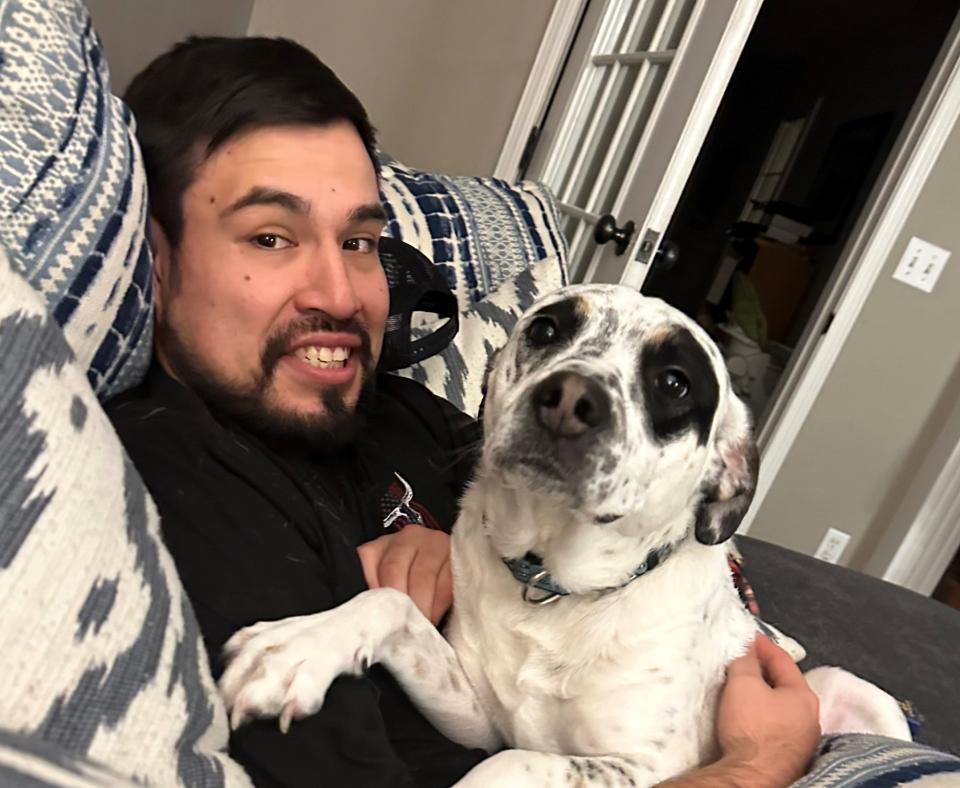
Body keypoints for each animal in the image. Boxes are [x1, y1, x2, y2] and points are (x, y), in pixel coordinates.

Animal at [216, 286, 908, 784]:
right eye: (548, 329)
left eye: (675, 382)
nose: (571, 397)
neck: (554, 586)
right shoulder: (476, 716)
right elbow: (390, 604)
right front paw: (298, 648)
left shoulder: (643, 768)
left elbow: (509, 765)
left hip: (861, 698)